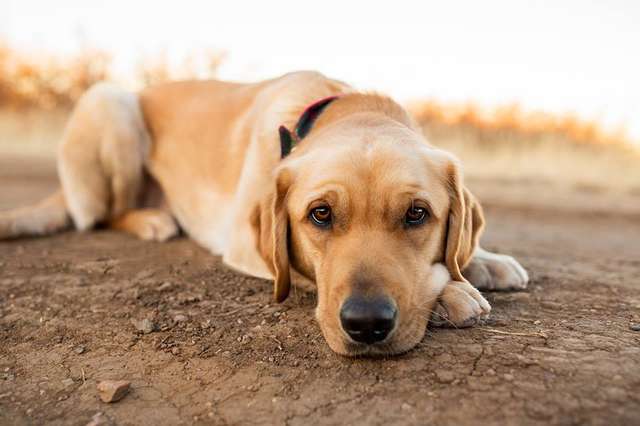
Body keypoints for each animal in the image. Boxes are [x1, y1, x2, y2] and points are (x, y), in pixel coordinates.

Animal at [0, 70, 528, 356]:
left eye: (417, 214)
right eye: (320, 215)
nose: (366, 324)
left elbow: (461, 250)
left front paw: (486, 260)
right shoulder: (244, 240)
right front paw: (451, 292)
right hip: (111, 103)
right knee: (101, 215)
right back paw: (152, 219)